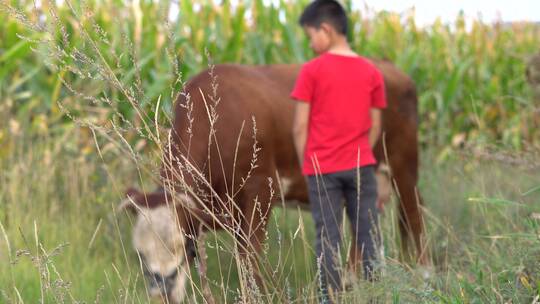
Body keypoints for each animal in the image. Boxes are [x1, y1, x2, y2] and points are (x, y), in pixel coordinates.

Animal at [121, 61, 426, 302]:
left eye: (187, 248)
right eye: (139, 254)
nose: (162, 292)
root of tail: (391, 68)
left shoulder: (260, 190)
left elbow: (249, 258)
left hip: (404, 166)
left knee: (413, 215)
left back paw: (422, 273)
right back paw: (354, 283)